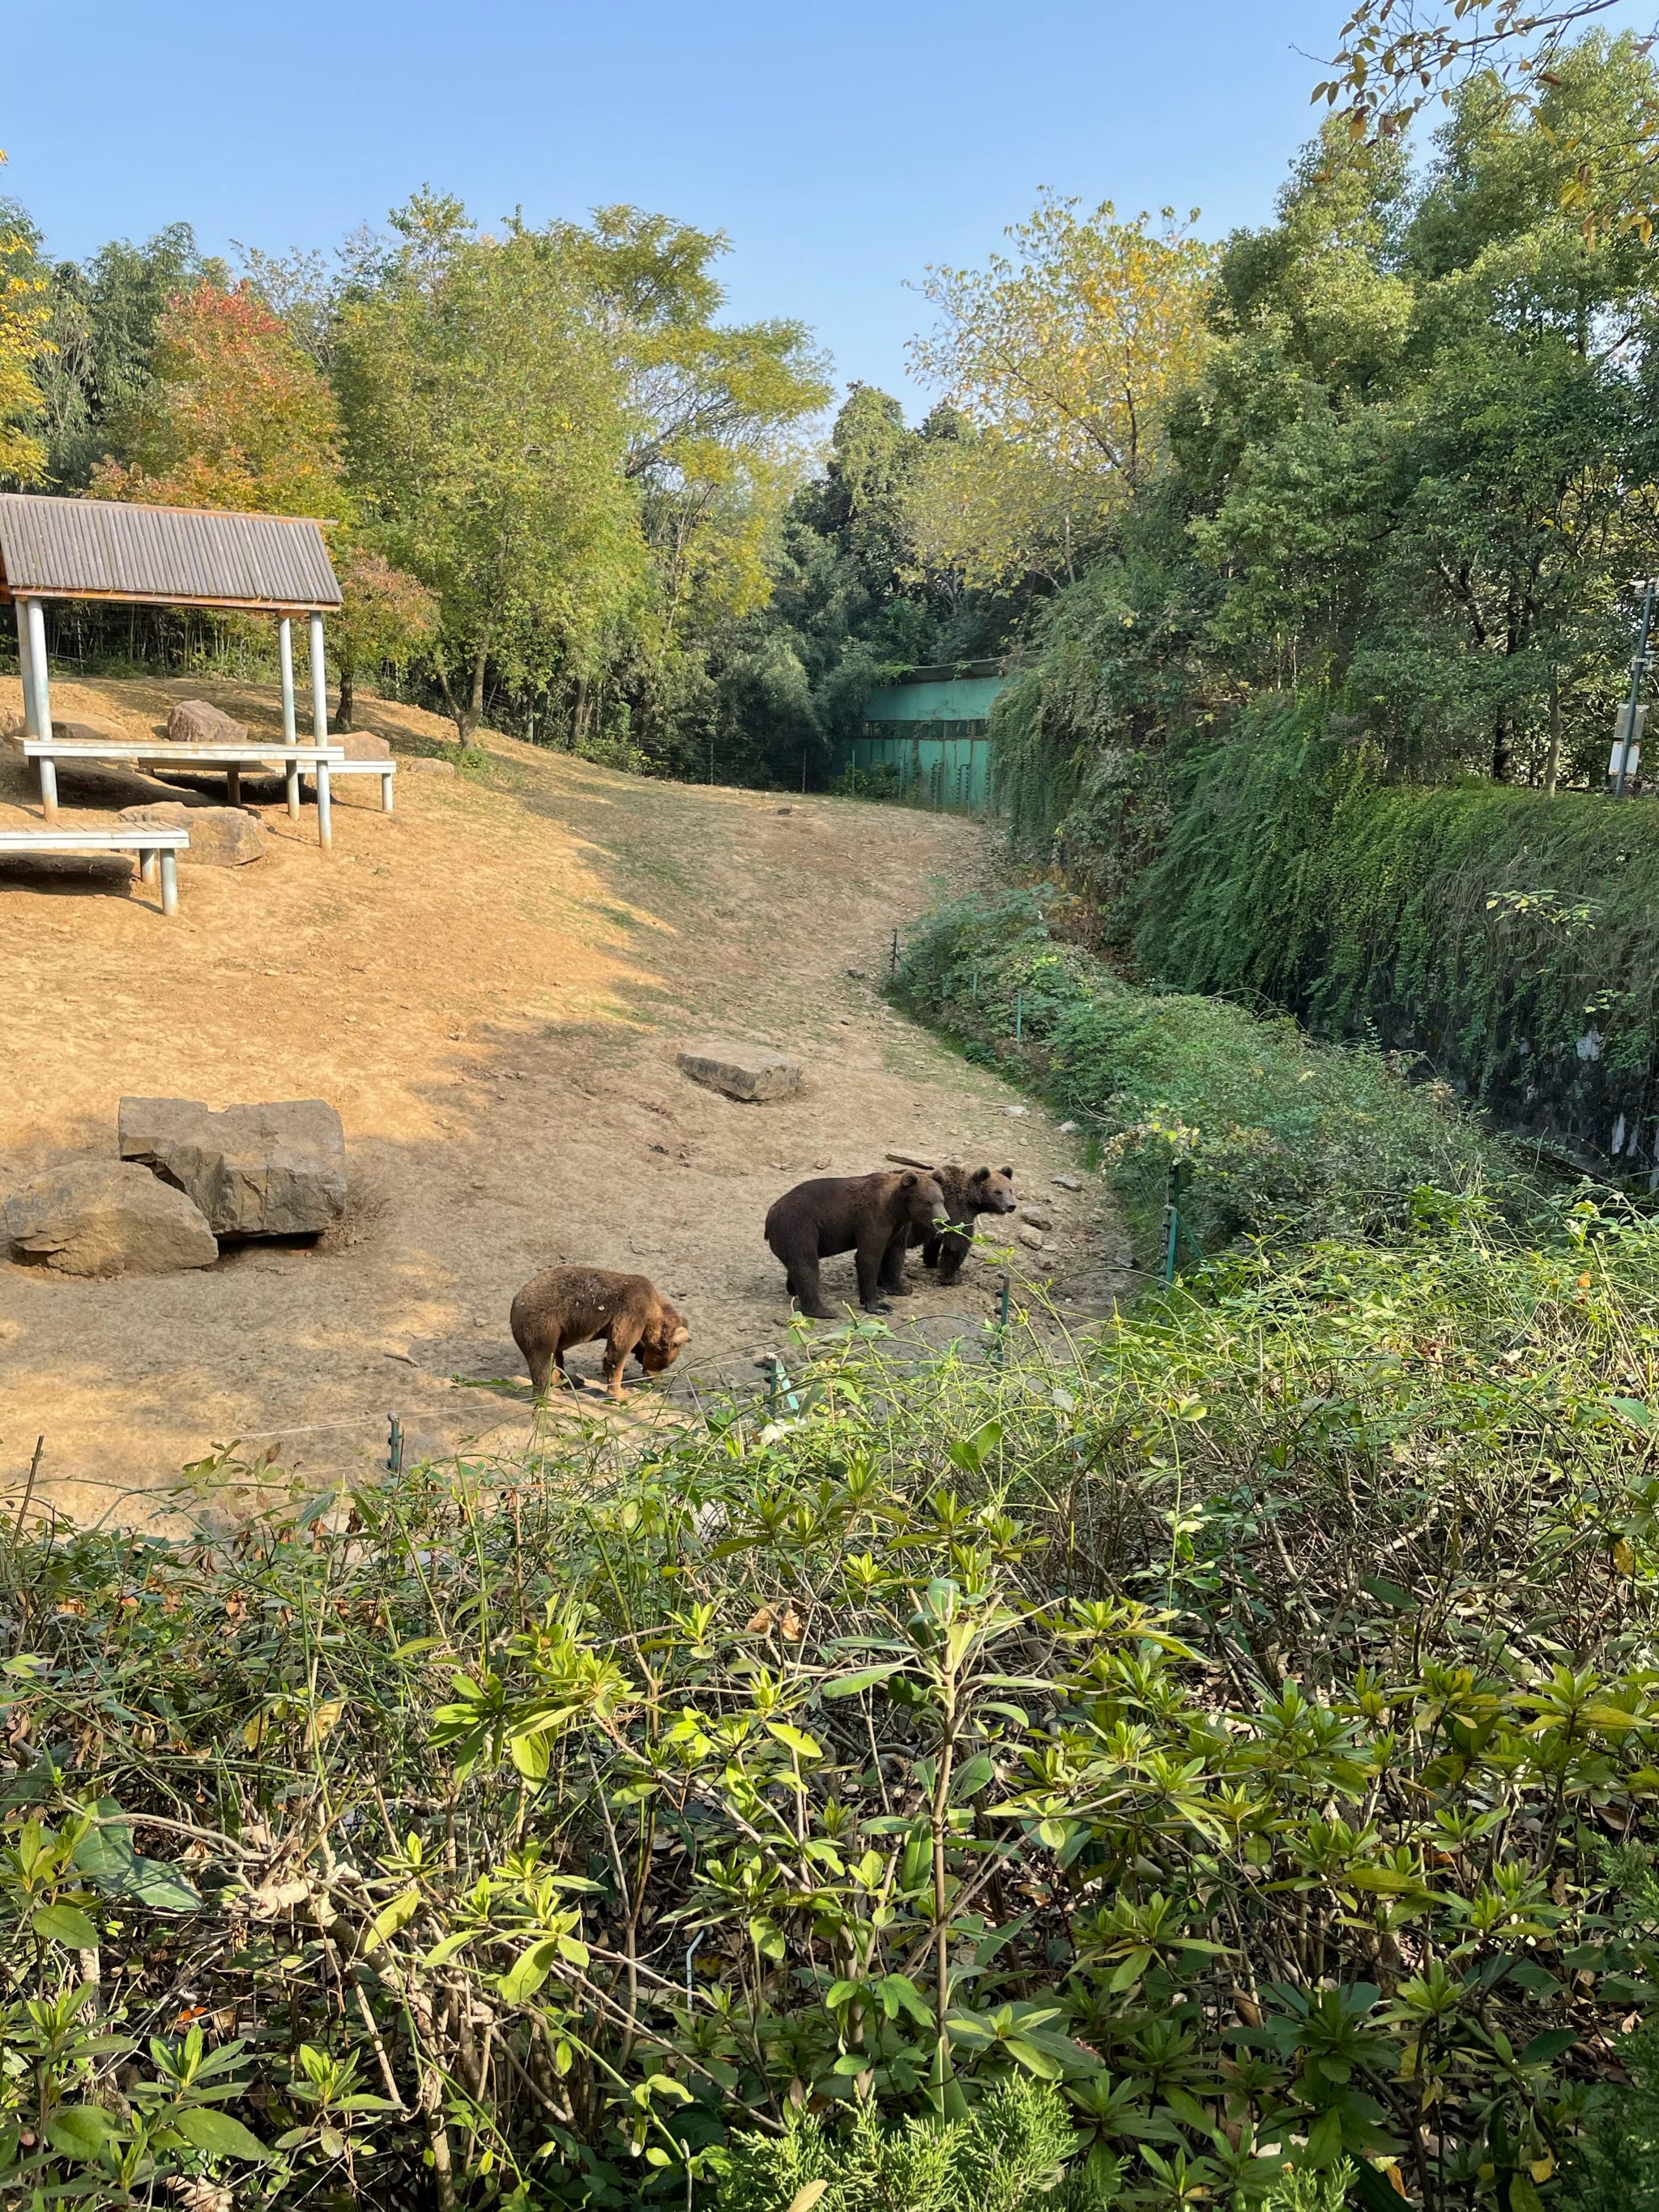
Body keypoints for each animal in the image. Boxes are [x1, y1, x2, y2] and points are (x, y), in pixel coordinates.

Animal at [506, 1265, 689, 1398]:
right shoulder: (632, 1311)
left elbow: (633, 1346)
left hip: (557, 1329)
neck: (653, 1312)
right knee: (542, 1360)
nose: (653, 1377)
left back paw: (570, 1380)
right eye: (663, 1361)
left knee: (556, 1357)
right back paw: (549, 1395)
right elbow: (617, 1352)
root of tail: (515, 1301)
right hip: (543, 1324)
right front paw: (621, 1393)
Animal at [765, 1176, 946, 1309]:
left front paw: (900, 1288)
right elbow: (868, 1257)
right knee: (806, 1264)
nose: (944, 1220)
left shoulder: (896, 1226)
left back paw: (793, 1289)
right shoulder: (873, 1220)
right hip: (798, 1226)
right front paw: (878, 1305)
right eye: (928, 1202)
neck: (894, 1207)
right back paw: (821, 1310)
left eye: (942, 1200)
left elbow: (893, 1254)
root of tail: (771, 1213)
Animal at [915, 1168, 1021, 1292]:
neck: (972, 1201)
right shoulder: (956, 1211)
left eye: (1010, 1190)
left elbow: (934, 1241)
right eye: (998, 1192)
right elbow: (957, 1244)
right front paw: (950, 1278)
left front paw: (932, 1262)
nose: (1011, 1205)